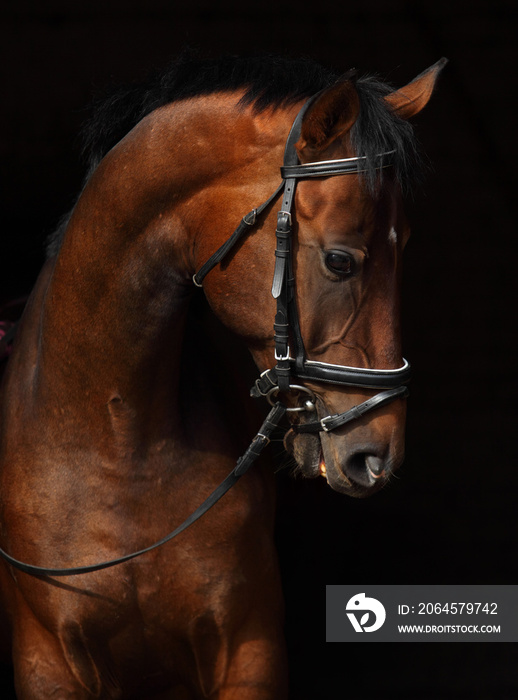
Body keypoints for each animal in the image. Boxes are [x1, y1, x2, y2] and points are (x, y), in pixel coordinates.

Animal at [0, 56, 446, 700]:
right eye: (340, 260)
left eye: (404, 245)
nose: (376, 456)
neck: (115, 439)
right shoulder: (49, 663)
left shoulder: (247, 651)